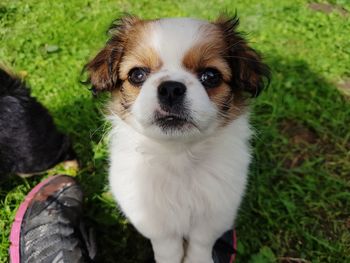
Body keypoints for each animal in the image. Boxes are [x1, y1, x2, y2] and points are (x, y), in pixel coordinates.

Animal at [85, 14, 270, 263]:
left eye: (211, 76)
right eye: (137, 75)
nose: (171, 88)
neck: (177, 153)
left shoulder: (217, 210)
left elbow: (201, 243)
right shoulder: (149, 215)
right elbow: (167, 245)